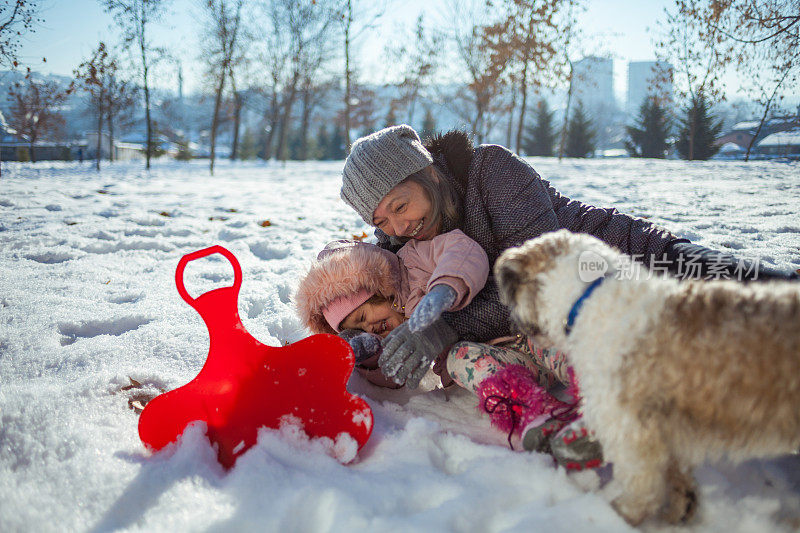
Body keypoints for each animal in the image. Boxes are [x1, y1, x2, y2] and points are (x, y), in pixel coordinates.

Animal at [494, 229, 800, 524]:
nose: (512, 327)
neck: (589, 297)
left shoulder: (627, 425)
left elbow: (641, 483)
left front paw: (622, 514)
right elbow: (677, 473)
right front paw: (680, 509)